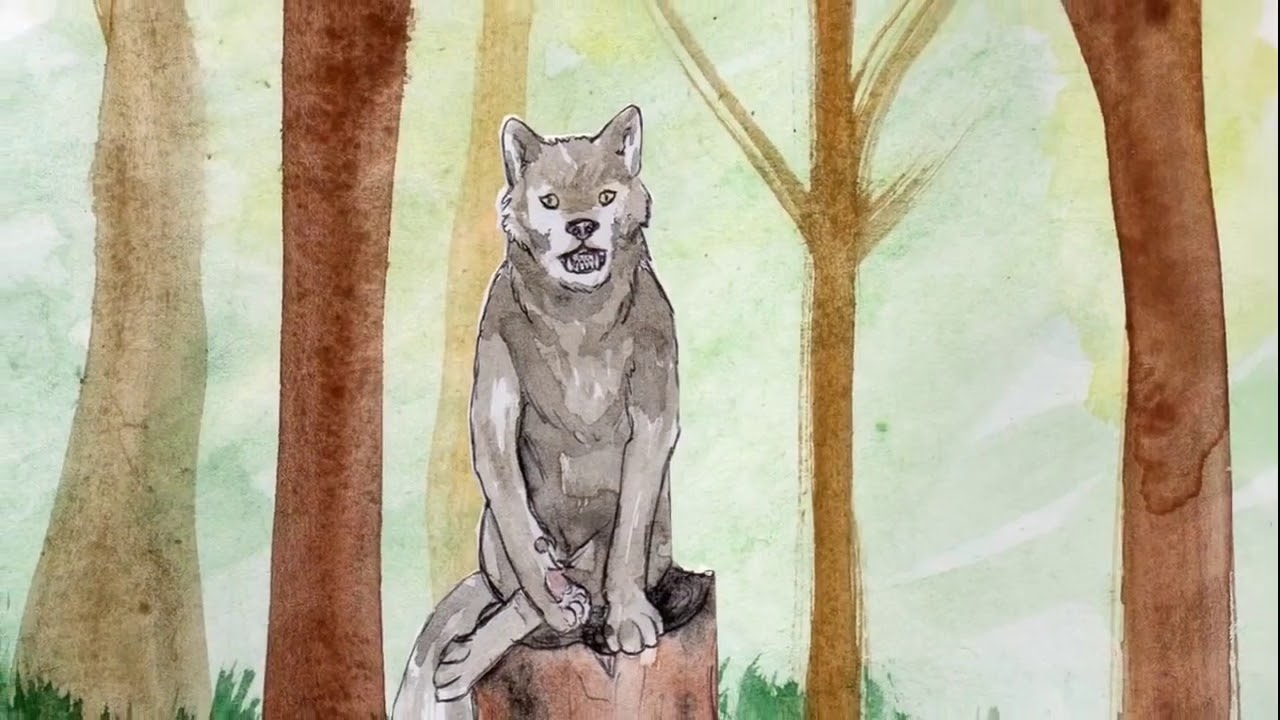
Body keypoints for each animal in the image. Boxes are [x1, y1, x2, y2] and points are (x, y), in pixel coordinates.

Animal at [390, 105, 682, 719]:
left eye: (605, 196)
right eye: (550, 201)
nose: (581, 226)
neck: (579, 317)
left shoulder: (655, 417)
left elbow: (626, 538)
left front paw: (629, 620)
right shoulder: (492, 407)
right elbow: (521, 532)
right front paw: (550, 596)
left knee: (590, 572)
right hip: (491, 541)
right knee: (522, 590)